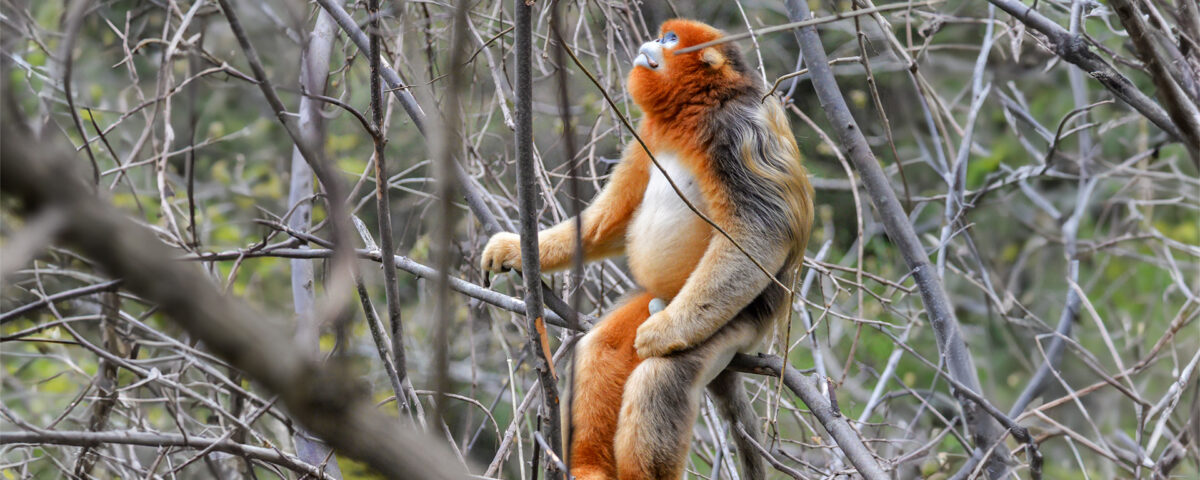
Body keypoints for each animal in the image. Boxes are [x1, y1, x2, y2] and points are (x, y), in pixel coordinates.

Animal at [480, 19, 813, 480]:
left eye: (671, 39)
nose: (654, 41)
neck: (695, 111)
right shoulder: (647, 135)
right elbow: (612, 219)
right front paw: (514, 247)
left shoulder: (740, 131)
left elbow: (760, 232)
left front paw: (663, 334)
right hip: (657, 299)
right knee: (601, 350)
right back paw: (587, 465)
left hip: (732, 321)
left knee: (659, 379)